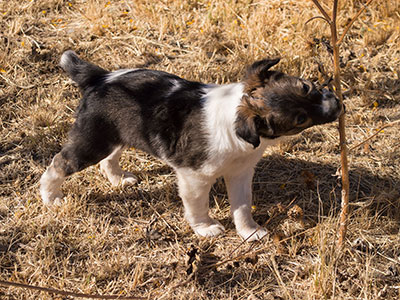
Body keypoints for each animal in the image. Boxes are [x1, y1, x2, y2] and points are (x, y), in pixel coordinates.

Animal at [40, 50, 342, 240]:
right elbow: (198, 206)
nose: (339, 105)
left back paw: (117, 179)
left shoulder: (240, 173)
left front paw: (249, 231)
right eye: (300, 119)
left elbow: (242, 206)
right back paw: (51, 198)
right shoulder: (194, 177)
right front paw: (205, 228)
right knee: (58, 164)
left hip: (117, 134)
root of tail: (100, 78)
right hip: (92, 141)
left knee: (108, 159)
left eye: (306, 86)